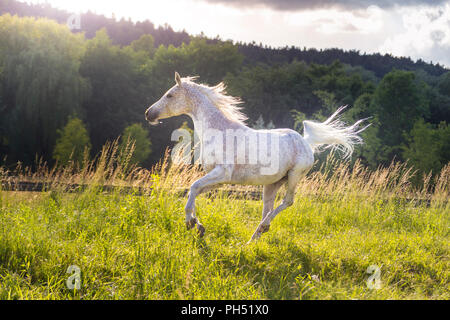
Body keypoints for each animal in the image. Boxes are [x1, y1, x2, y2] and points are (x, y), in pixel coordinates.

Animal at [146, 72, 368, 242]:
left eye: (170, 95)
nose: (148, 113)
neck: (219, 130)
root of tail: (305, 141)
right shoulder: (219, 179)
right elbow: (194, 191)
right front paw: (198, 226)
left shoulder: (222, 173)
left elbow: (192, 188)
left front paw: (190, 223)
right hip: (272, 184)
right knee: (267, 208)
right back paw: (252, 239)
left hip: (294, 176)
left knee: (287, 202)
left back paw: (263, 227)